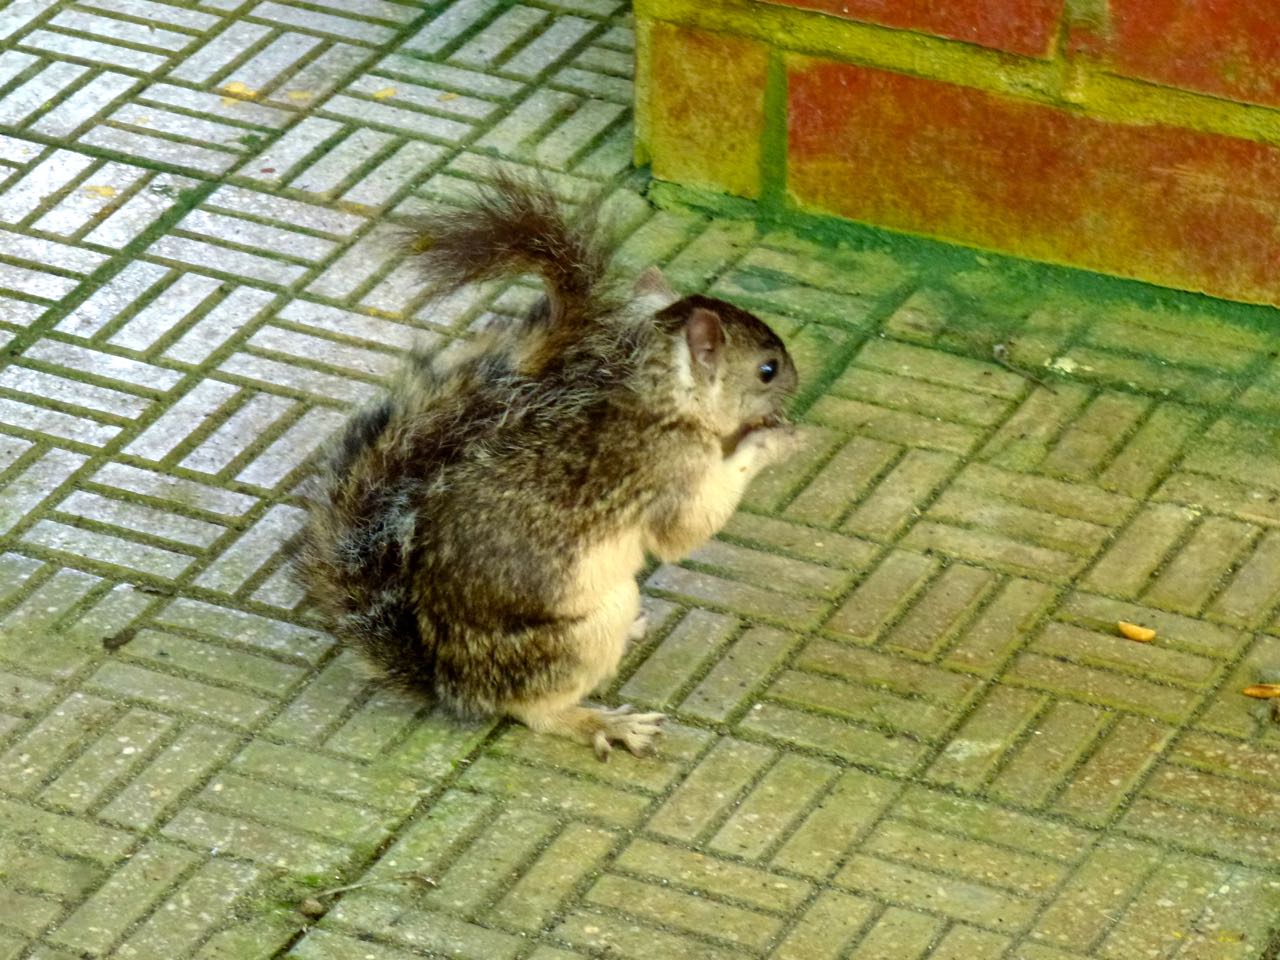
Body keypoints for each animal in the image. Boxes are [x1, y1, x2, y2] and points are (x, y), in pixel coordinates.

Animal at [290, 172, 793, 757]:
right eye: (766, 369)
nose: (795, 382)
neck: (661, 402)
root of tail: (456, 686)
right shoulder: (668, 473)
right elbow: (683, 534)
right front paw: (772, 442)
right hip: (576, 637)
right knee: (535, 711)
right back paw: (603, 722)